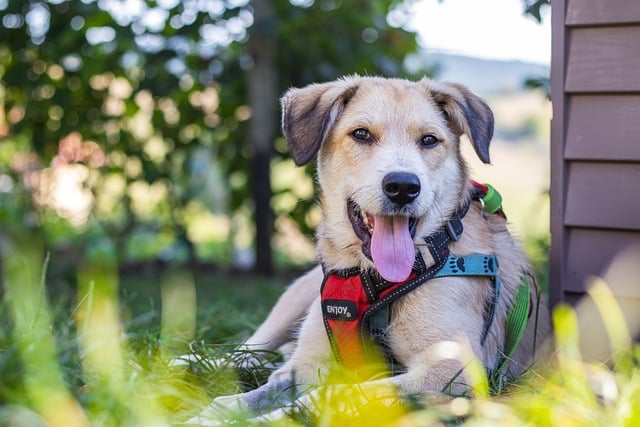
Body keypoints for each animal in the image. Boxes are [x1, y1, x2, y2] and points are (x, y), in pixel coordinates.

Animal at [186, 76, 552, 424]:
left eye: (429, 140)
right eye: (361, 134)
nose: (403, 187)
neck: (376, 280)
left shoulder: (452, 371)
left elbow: (335, 396)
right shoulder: (311, 363)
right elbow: (254, 394)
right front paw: (214, 412)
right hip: (294, 299)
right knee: (251, 352)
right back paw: (187, 362)